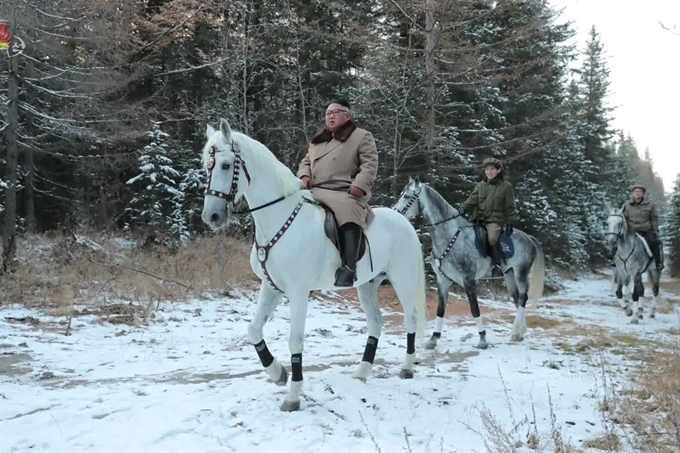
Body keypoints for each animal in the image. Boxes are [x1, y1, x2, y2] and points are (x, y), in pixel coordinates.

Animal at [199, 118, 428, 412]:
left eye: (226, 165)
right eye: (207, 165)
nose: (212, 216)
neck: (279, 218)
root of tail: (404, 222)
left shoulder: (298, 292)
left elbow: (295, 340)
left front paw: (293, 396)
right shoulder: (271, 287)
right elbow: (253, 329)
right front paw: (278, 373)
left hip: (402, 279)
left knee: (411, 318)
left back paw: (407, 368)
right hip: (367, 285)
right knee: (375, 323)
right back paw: (362, 372)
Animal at [390, 177, 544, 346]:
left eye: (407, 196)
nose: (394, 212)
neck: (449, 237)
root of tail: (528, 237)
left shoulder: (468, 280)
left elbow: (474, 308)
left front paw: (482, 339)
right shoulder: (442, 280)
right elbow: (440, 309)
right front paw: (434, 338)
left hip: (520, 273)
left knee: (523, 298)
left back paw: (516, 332)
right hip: (509, 274)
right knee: (517, 299)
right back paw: (520, 332)